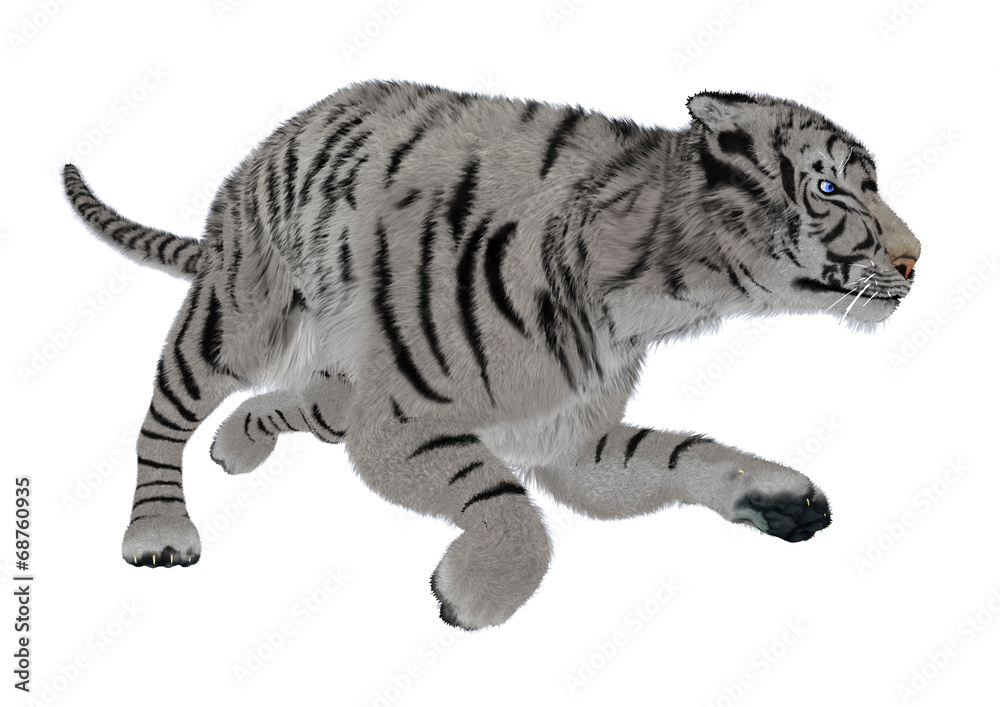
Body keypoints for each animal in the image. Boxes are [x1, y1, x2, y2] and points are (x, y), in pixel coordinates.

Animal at [63, 79, 920, 630]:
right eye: (832, 189)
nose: (916, 258)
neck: (662, 292)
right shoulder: (401, 421)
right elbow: (507, 501)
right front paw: (477, 590)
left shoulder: (566, 435)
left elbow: (680, 452)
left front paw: (779, 491)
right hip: (238, 319)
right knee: (162, 413)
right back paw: (158, 530)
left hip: (340, 377)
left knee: (300, 399)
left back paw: (235, 444)